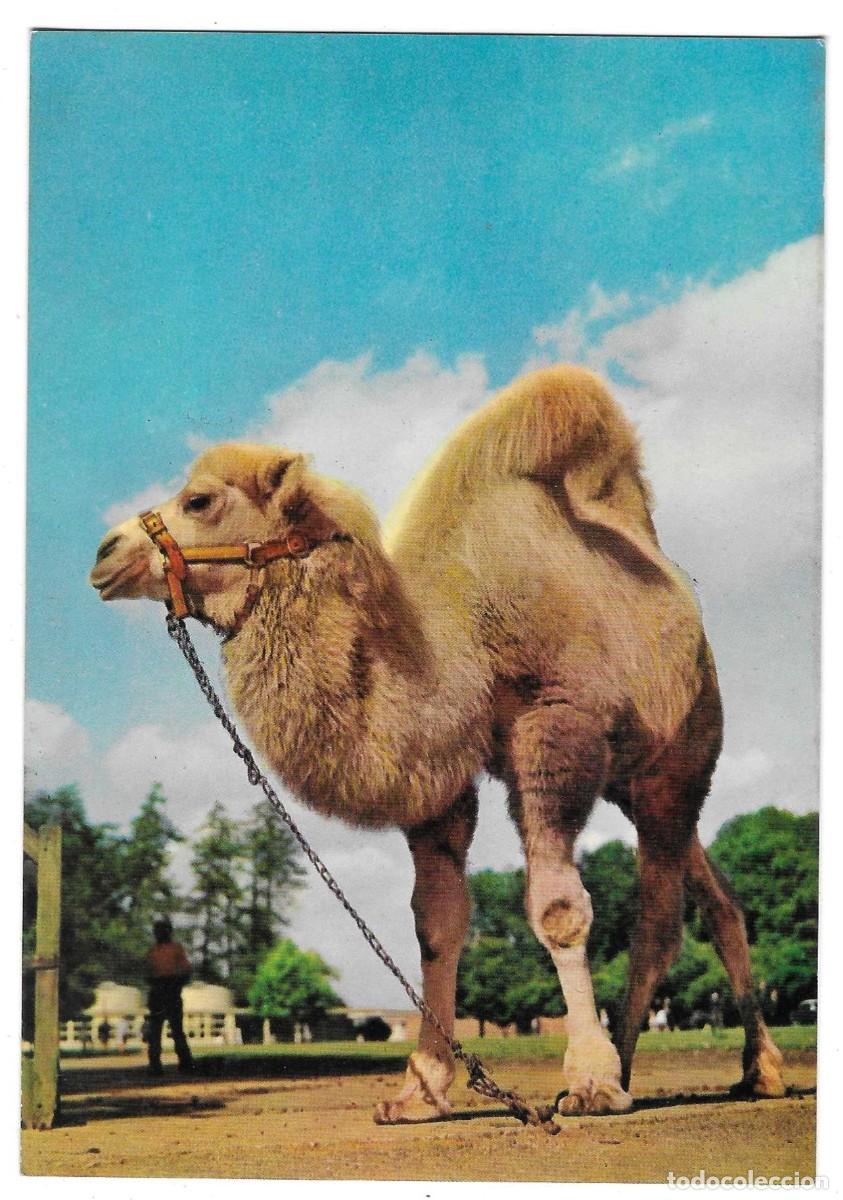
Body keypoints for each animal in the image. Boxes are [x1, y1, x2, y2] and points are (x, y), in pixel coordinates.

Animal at [90, 364, 785, 1120]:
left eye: (200, 499)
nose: (104, 554)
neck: (455, 644)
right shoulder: (439, 777)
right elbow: (437, 926)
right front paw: (419, 1089)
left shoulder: (554, 729)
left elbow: (558, 908)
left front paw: (589, 1079)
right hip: (636, 781)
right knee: (716, 896)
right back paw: (742, 1068)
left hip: (680, 757)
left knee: (659, 918)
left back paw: (633, 1072)